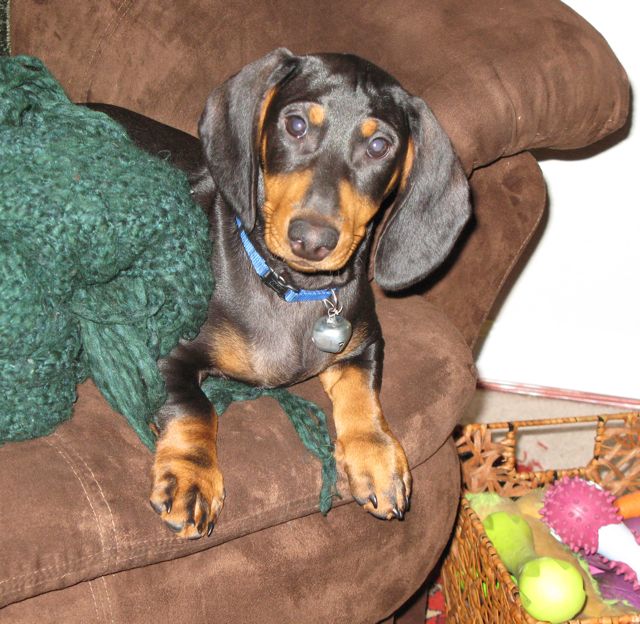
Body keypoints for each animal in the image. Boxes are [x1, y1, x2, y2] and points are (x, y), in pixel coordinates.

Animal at [149, 48, 470, 540]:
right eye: (296, 124)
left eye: (380, 146)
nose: (312, 239)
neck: (291, 290)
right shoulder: (162, 349)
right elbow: (193, 407)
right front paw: (190, 477)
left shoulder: (364, 343)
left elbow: (362, 394)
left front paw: (377, 458)